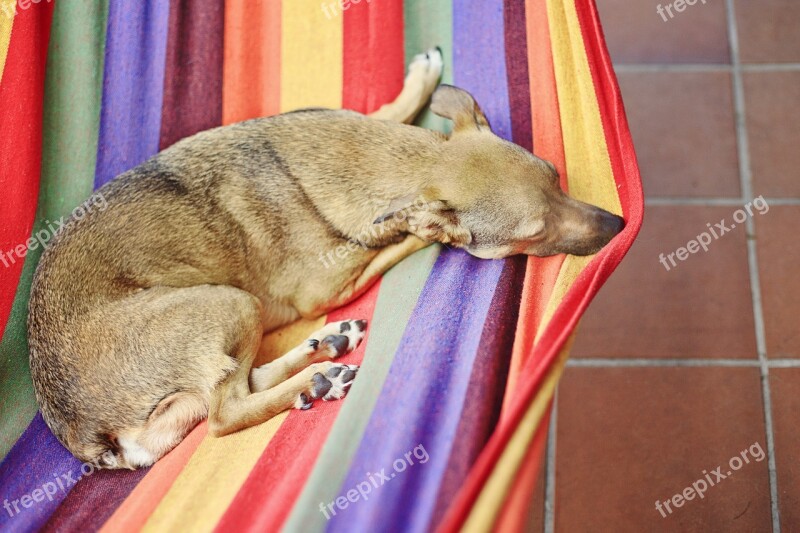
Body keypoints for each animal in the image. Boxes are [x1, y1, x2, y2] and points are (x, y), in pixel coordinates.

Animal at [26, 47, 624, 468]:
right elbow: (400, 240)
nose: (620, 225)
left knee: (242, 382)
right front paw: (420, 231)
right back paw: (319, 378)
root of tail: (84, 433)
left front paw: (420, 83)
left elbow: (385, 110)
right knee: (226, 412)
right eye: (536, 231)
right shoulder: (330, 283)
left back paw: (325, 349)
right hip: (230, 304)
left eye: (556, 174)